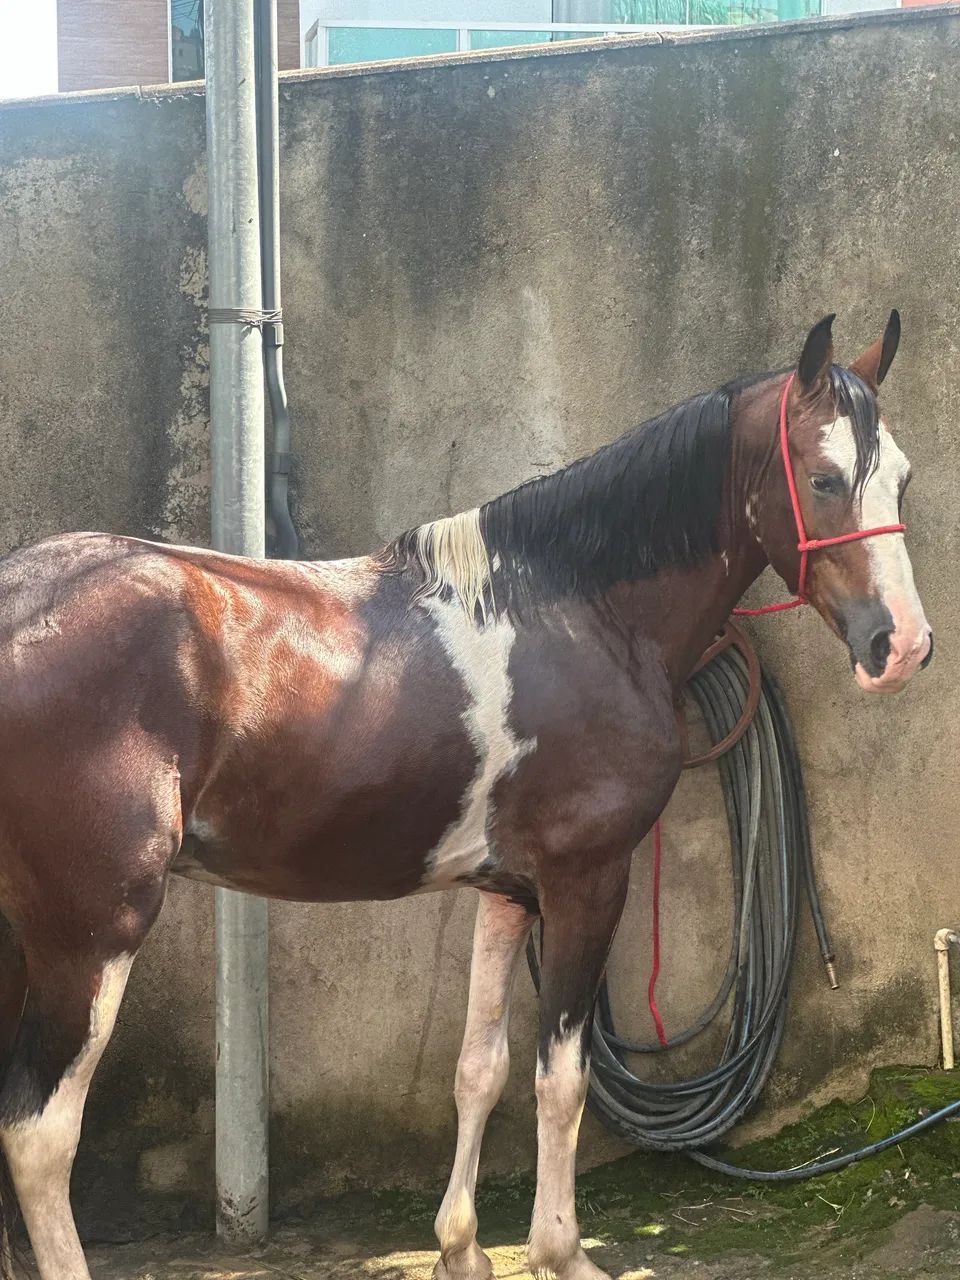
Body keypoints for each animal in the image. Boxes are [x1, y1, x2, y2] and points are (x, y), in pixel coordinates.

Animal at [0, 313, 932, 1280]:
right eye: (823, 477)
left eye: (900, 476)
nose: (900, 645)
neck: (577, 610)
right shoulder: (586, 882)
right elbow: (561, 1080)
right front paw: (563, 1250)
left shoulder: (507, 891)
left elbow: (479, 1067)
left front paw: (462, 1248)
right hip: (91, 932)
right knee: (39, 1134)